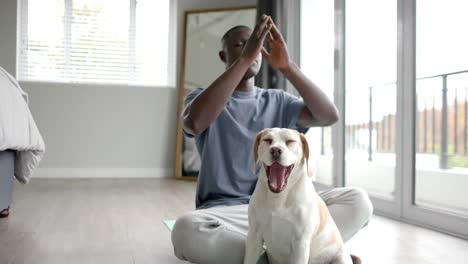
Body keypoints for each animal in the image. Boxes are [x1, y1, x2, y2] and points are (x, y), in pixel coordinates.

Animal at [243, 128, 352, 264]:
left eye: (290, 141)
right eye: (267, 140)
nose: (275, 150)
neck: (278, 198)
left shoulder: (301, 243)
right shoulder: (254, 236)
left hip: (340, 257)